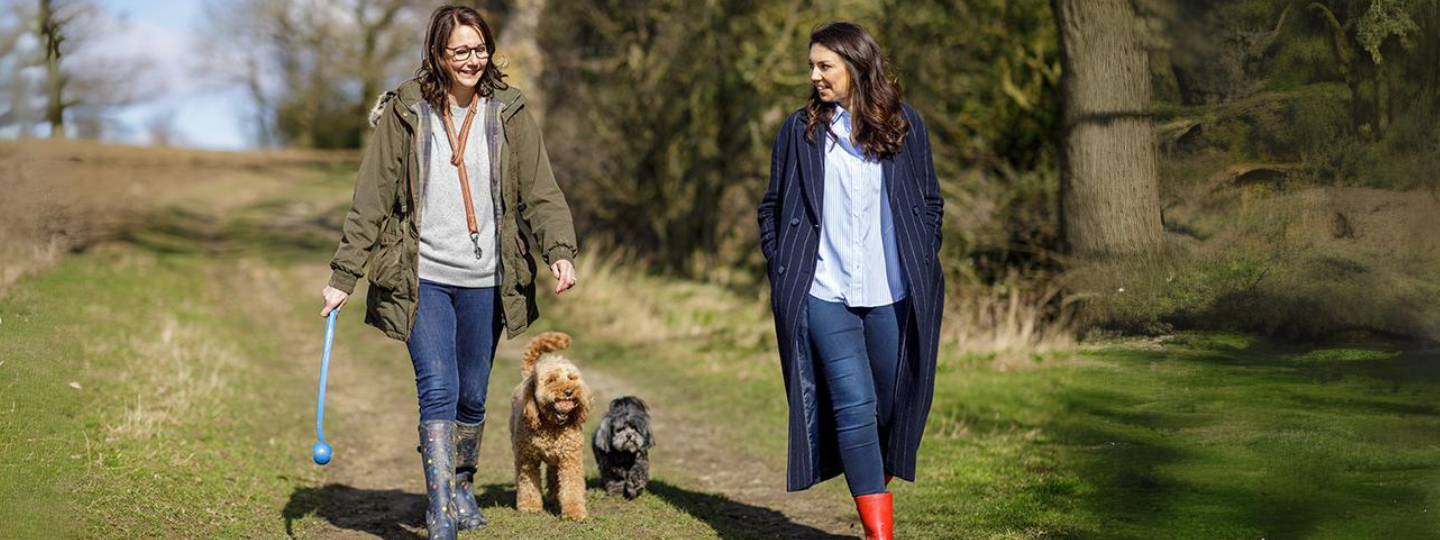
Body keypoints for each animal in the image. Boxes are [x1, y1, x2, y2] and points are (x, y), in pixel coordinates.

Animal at [509, 332, 593, 521]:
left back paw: (555, 497)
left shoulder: (570, 459)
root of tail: (529, 374)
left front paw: (574, 512)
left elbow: (572, 487)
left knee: (554, 475)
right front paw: (530, 506)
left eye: (572, 378)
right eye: (552, 379)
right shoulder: (527, 459)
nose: (569, 392)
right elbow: (528, 483)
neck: (553, 424)